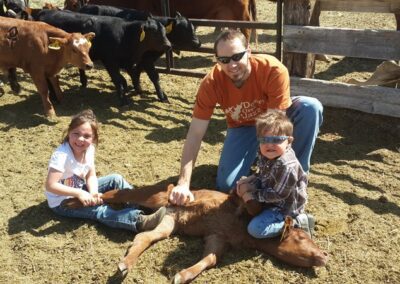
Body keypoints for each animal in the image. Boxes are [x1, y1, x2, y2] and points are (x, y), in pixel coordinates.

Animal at [34, 9, 170, 106]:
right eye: (154, 32)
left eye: (164, 31)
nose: (168, 45)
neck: (126, 35)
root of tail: (44, 12)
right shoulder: (110, 61)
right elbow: (118, 79)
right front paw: (123, 100)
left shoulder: (136, 60)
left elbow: (144, 76)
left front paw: (158, 95)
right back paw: (54, 97)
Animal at [65, 183, 328, 282]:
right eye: (301, 237)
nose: (324, 255)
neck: (241, 228)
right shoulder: (234, 206)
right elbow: (249, 201)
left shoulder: (217, 238)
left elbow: (210, 259)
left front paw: (182, 276)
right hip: (153, 196)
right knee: (116, 194)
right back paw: (74, 202)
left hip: (168, 222)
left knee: (143, 237)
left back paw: (124, 266)